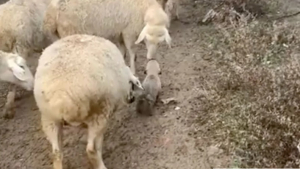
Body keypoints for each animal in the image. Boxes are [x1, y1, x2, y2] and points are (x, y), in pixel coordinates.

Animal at [33, 34, 144, 169]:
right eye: (132, 85)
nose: (132, 99)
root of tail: (63, 99)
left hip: (49, 119)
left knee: (56, 153)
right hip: (99, 115)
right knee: (91, 149)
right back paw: (101, 166)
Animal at [43, 0, 172, 74]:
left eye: (160, 42)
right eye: (146, 39)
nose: (151, 57)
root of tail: (51, 12)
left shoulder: (120, 32)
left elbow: (122, 51)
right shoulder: (128, 32)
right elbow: (132, 53)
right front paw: (133, 70)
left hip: (58, 35)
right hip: (70, 32)